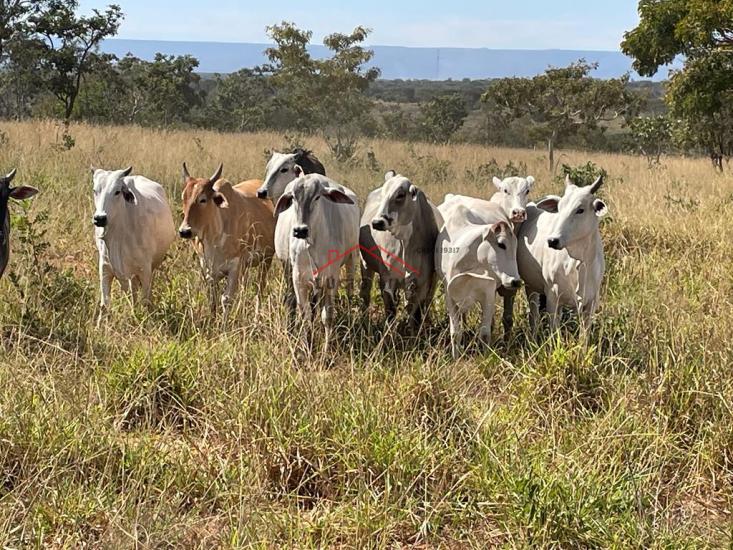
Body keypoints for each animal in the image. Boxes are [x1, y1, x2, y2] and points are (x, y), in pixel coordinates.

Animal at [91, 166, 176, 326]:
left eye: (117, 191)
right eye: (95, 190)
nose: (100, 218)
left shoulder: (144, 270)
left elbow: (145, 301)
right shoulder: (104, 268)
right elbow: (104, 305)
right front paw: (99, 327)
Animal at [179, 163, 274, 324]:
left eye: (203, 199)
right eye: (183, 198)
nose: (184, 231)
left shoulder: (235, 267)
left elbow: (226, 299)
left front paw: (224, 327)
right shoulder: (208, 270)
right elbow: (212, 300)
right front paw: (212, 323)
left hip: (266, 259)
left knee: (260, 289)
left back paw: (255, 321)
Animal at [274, 175, 358, 350]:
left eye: (317, 197)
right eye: (293, 197)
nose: (300, 230)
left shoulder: (331, 279)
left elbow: (328, 316)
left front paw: (326, 350)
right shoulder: (298, 279)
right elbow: (305, 314)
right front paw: (306, 345)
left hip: (351, 261)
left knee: (349, 291)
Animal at [434, 204, 520, 362]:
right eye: (501, 244)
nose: (516, 281)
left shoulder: (488, 295)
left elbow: (485, 333)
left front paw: (485, 358)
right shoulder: (450, 296)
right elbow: (455, 333)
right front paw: (456, 358)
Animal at [516, 175, 608, 334]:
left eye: (580, 210)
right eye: (559, 209)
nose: (552, 240)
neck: (579, 262)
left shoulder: (590, 303)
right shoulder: (553, 298)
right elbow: (555, 332)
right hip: (530, 285)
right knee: (533, 315)